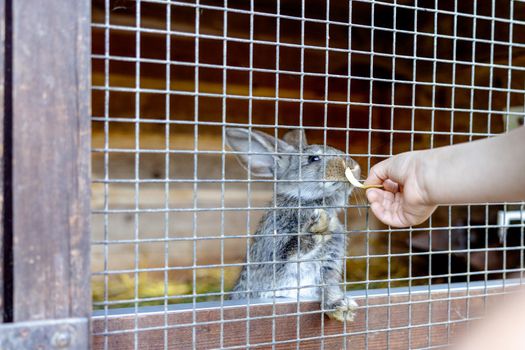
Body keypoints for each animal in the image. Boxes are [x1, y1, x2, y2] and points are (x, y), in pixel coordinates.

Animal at [225, 127, 360, 322]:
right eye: (313, 158)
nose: (353, 166)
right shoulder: (275, 252)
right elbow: (294, 251)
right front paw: (318, 228)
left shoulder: (329, 263)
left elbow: (329, 285)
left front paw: (341, 307)